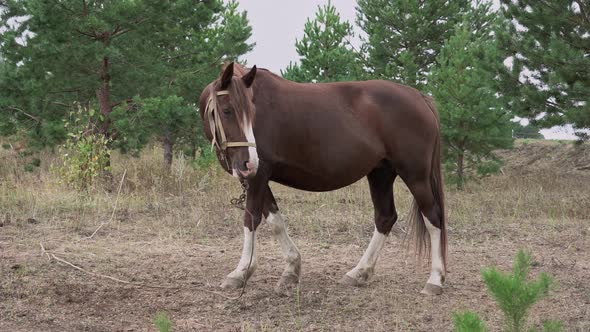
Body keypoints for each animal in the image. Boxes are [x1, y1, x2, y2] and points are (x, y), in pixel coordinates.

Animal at [199, 62, 448, 296]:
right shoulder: (259, 178)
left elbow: (251, 219)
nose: (249, 161)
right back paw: (359, 272)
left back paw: (435, 279)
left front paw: (240, 273)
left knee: (433, 217)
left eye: (252, 111)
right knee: (385, 218)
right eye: (226, 110)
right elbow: (275, 222)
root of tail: (420, 97)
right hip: (381, 173)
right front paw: (291, 270)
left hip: (415, 175)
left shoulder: (258, 176)